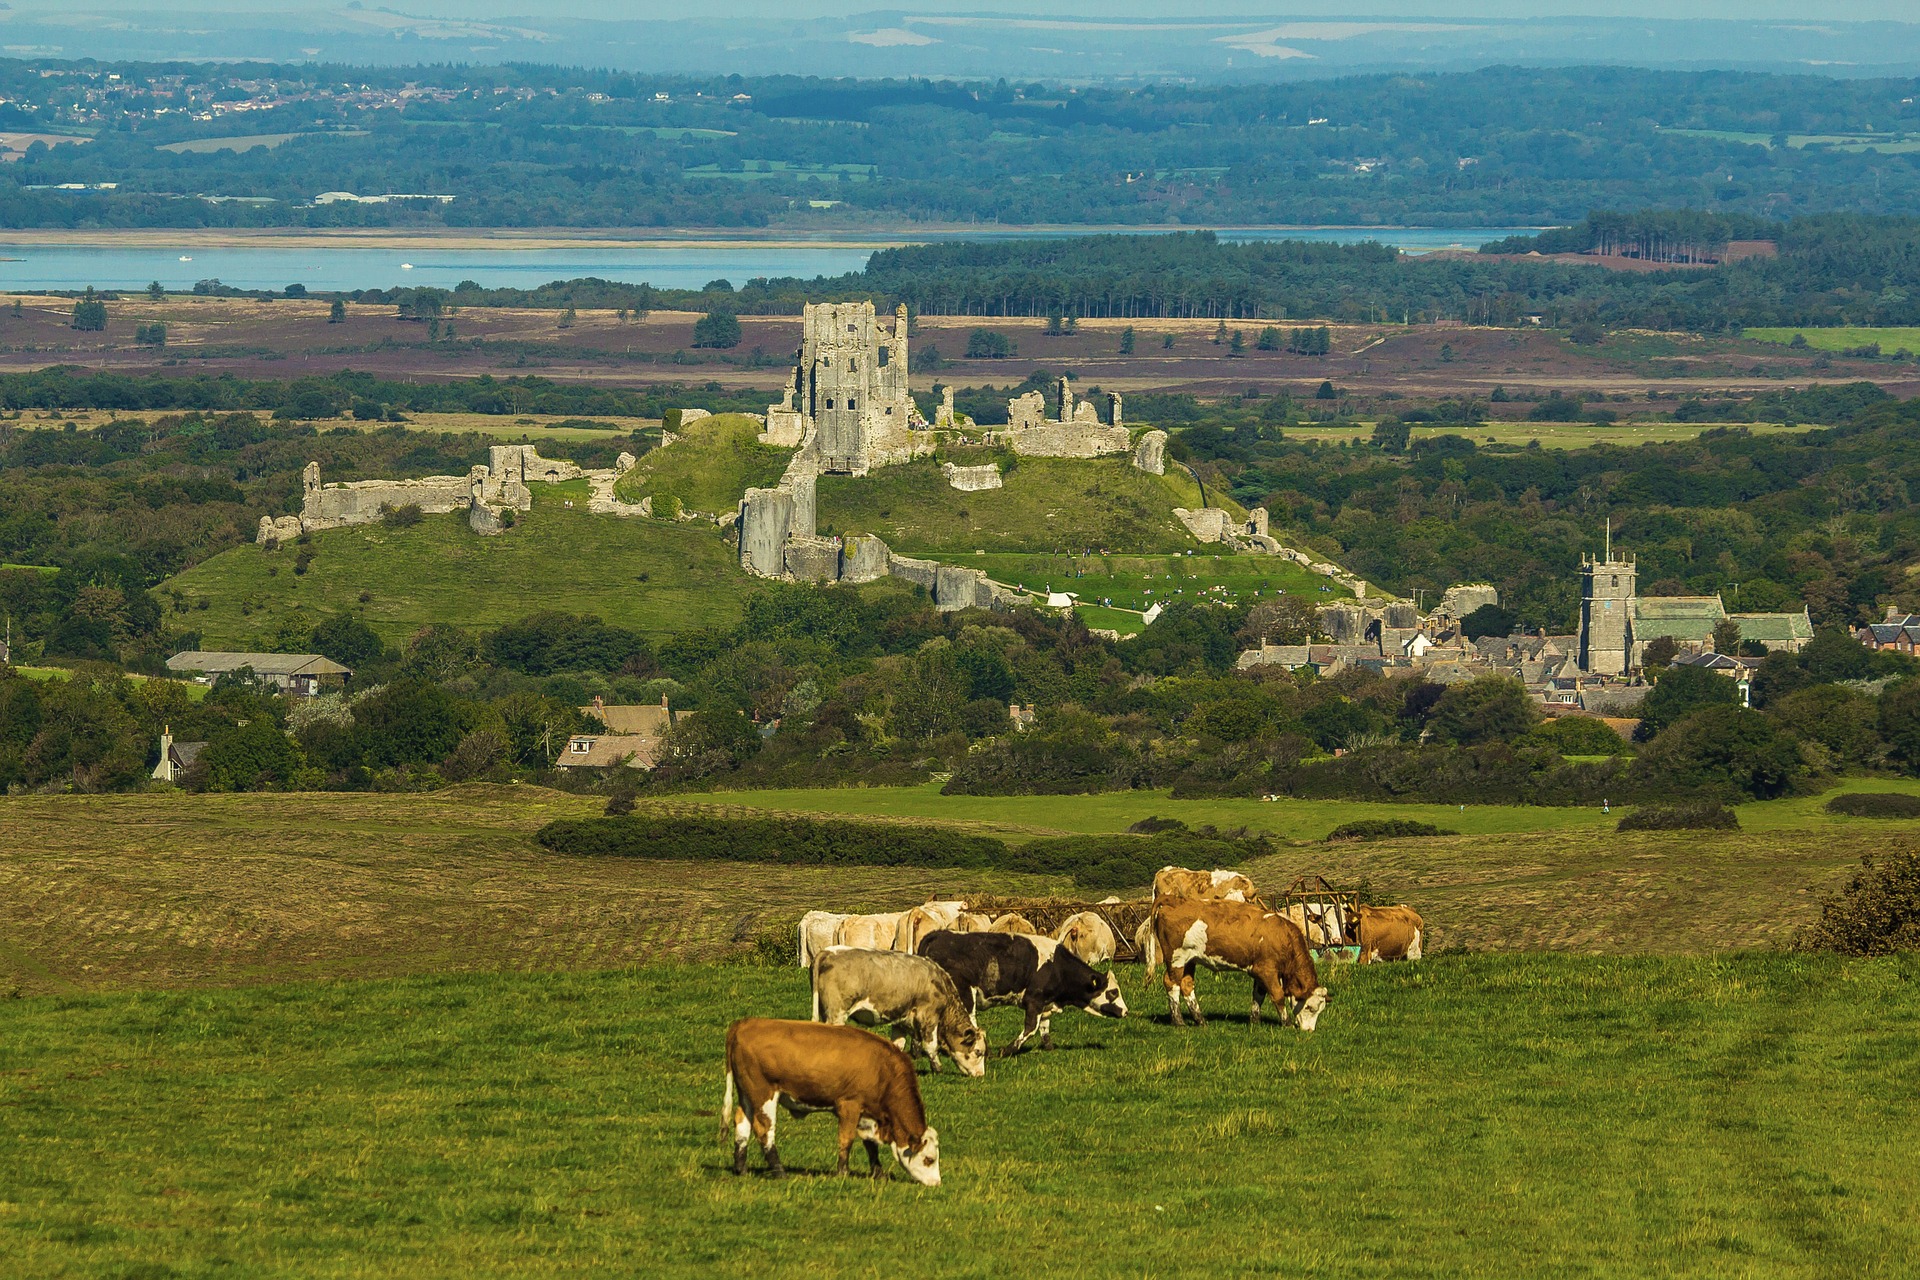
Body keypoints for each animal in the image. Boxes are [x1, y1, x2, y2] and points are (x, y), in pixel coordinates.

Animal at [721, 1013, 940, 1189]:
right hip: (764, 1093)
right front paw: (843, 1173)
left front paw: (879, 1173)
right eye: (929, 1159)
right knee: (764, 1130)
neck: (882, 1069)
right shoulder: (849, 1105)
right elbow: (847, 1139)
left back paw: (741, 1168)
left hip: (747, 1094)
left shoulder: (866, 1112)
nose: (937, 1183)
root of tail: (744, 1023)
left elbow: (870, 1144)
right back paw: (779, 1171)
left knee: (742, 1123)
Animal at [810, 948, 990, 1074]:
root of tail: (829, 952)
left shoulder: (901, 1021)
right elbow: (931, 1046)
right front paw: (937, 1069)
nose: (980, 1075)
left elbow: (897, 1045)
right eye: (978, 1052)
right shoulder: (928, 1016)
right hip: (837, 1014)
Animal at [913, 924, 1121, 1059]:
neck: (1057, 966)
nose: (1125, 1011)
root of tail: (938, 935)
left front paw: (1049, 1048)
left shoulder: (1045, 1003)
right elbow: (1031, 1029)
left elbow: (1044, 1028)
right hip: (964, 993)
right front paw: (1007, 1050)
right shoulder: (1034, 1000)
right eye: (1113, 992)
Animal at [1144, 901, 1328, 1028]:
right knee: (1171, 984)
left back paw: (1200, 1020)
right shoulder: (1267, 971)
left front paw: (1255, 1021)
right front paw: (1286, 1023)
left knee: (1186, 985)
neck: (1281, 936)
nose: (1309, 1031)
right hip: (1177, 959)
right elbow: (1278, 995)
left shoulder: (1258, 972)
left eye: (1320, 1011)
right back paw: (1178, 1021)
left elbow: (1258, 996)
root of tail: (1172, 901)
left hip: (1190, 960)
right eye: (1310, 1008)